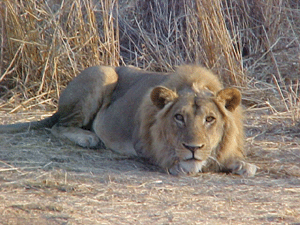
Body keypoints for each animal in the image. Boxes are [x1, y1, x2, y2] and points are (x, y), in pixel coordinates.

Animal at [0, 64, 258, 176]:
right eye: (179, 117)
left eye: (210, 119)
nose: (193, 148)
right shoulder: (142, 144)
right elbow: (167, 158)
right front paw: (180, 164)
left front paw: (241, 165)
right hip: (103, 73)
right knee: (58, 126)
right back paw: (88, 138)